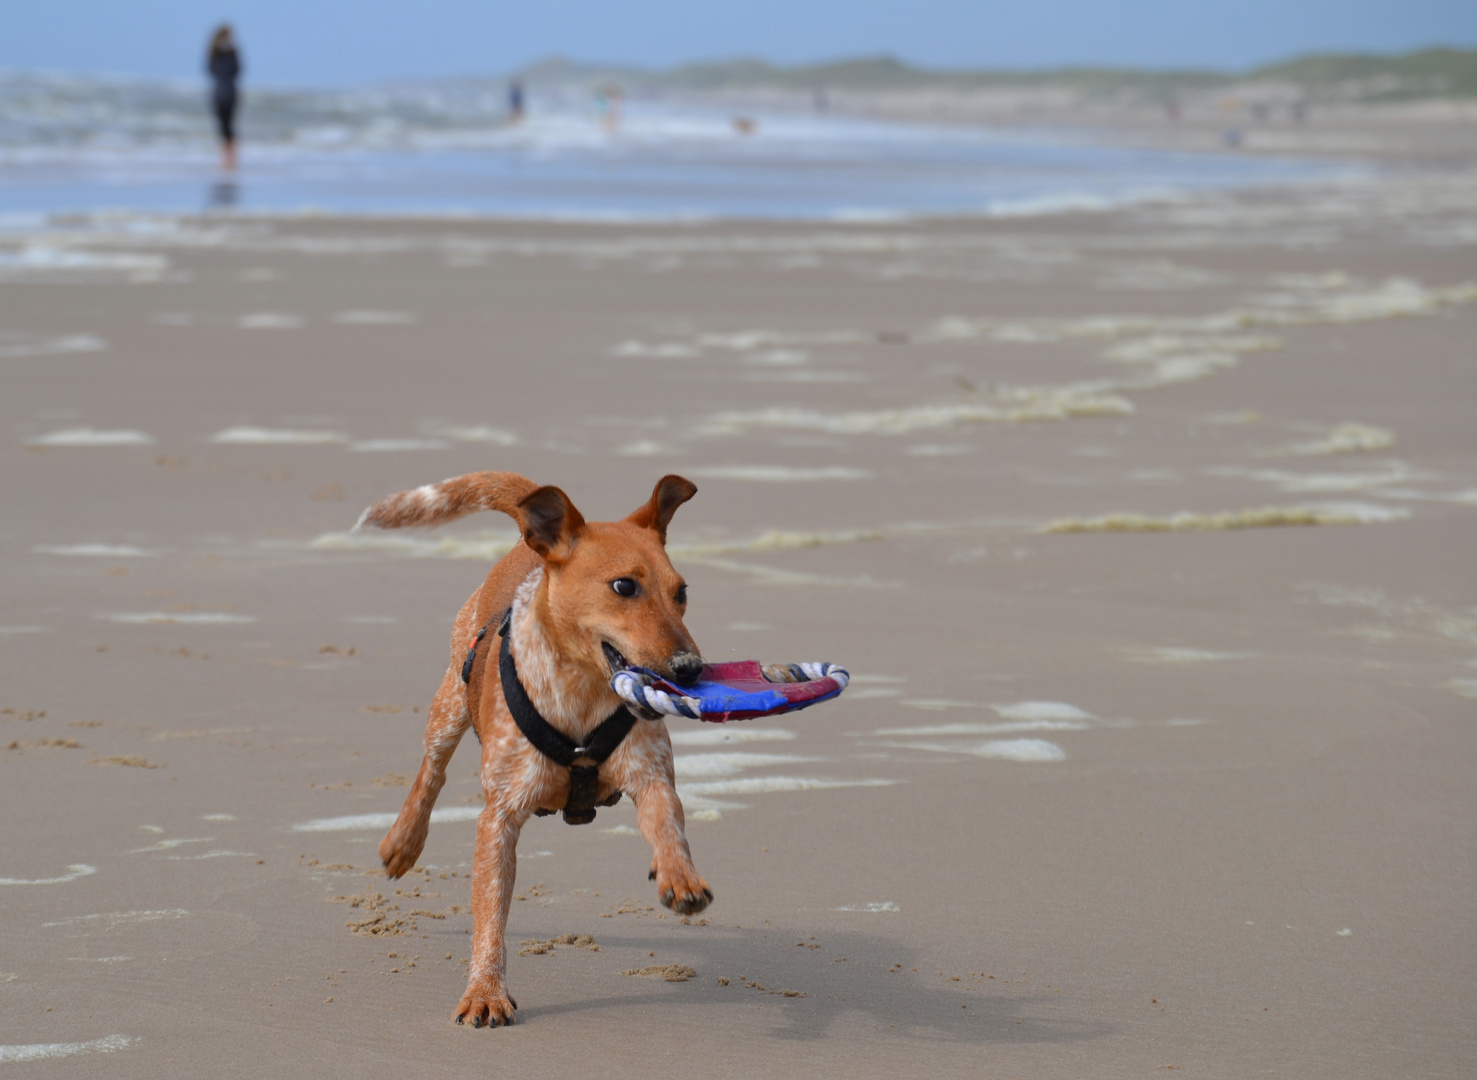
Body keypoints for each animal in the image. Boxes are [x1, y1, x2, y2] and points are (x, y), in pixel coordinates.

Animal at [354, 472, 706, 1028]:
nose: (692, 668)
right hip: (450, 701)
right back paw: (402, 843)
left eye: (682, 591)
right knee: (431, 770)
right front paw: (485, 993)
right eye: (624, 586)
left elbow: (668, 821)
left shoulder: (651, 773)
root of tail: (528, 544)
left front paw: (680, 877)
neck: (581, 696)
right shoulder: (498, 817)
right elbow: (490, 915)